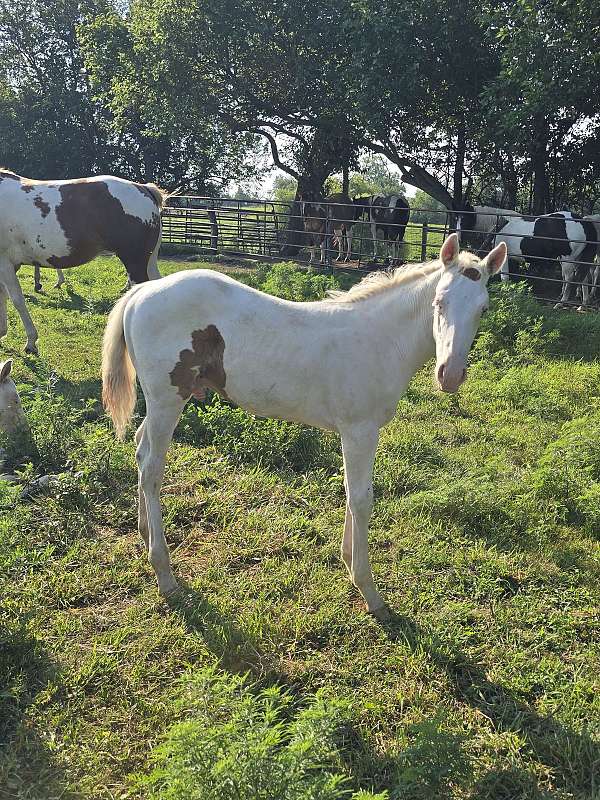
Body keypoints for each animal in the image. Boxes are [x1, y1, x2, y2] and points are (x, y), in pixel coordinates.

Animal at [0, 169, 165, 354]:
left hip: (135, 264)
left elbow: (16, 300)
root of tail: (143, 188)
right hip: (148, 263)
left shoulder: (5, 263)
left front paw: (30, 341)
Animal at [101, 233, 507, 618]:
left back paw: (144, 534)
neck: (379, 339)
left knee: (140, 450)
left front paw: (348, 564)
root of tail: (142, 292)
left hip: (158, 404)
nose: (450, 375)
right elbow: (361, 499)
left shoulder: (355, 432)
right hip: (167, 400)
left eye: (483, 309)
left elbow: (350, 492)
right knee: (152, 468)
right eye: (439, 302)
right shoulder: (360, 429)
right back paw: (164, 572)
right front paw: (368, 589)